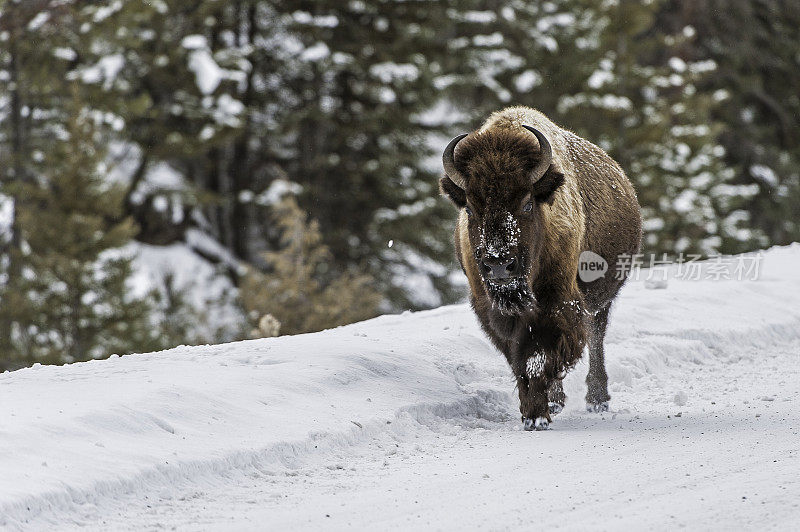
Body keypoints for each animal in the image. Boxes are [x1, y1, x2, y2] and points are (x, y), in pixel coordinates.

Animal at [440, 106, 640, 430]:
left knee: (595, 335)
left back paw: (597, 400)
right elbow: (519, 358)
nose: (499, 264)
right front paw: (534, 412)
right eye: (469, 208)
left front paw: (537, 416)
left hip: (600, 297)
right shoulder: (493, 310)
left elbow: (539, 355)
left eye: (527, 204)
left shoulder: (558, 301)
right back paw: (557, 400)